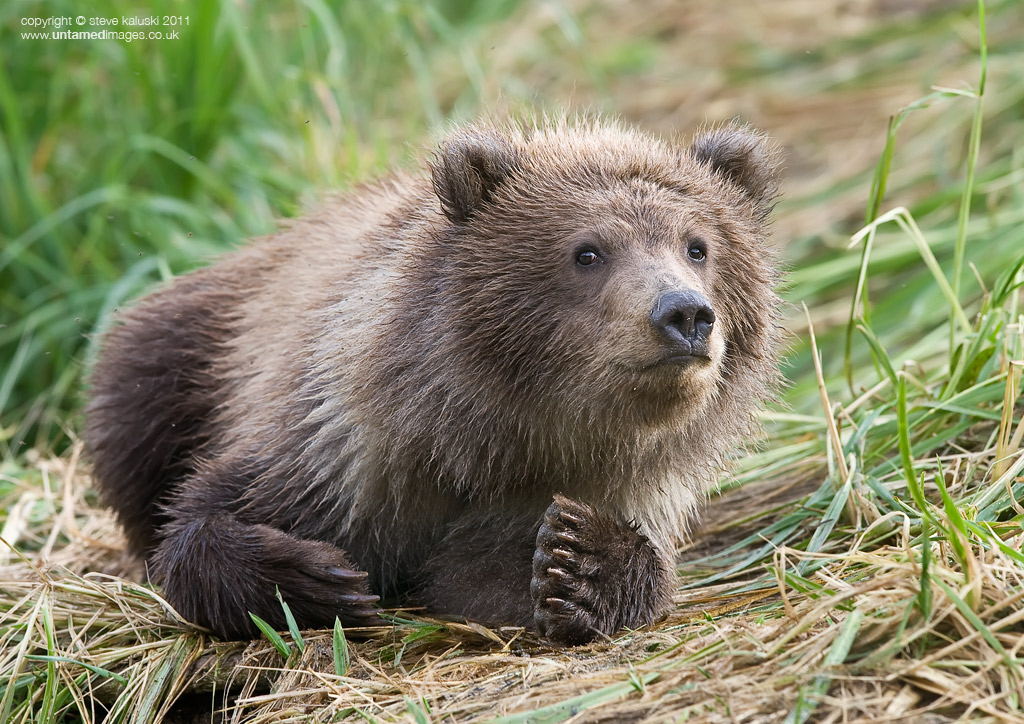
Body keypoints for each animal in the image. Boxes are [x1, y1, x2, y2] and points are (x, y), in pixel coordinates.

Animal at [84, 117, 782, 646]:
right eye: (588, 251)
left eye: (698, 245)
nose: (684, 314)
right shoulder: (345, 452)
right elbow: (205, 516)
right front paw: (316, 579)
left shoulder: (583, 486)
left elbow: (500, 577)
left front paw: (579, 564)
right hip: (197, 341)